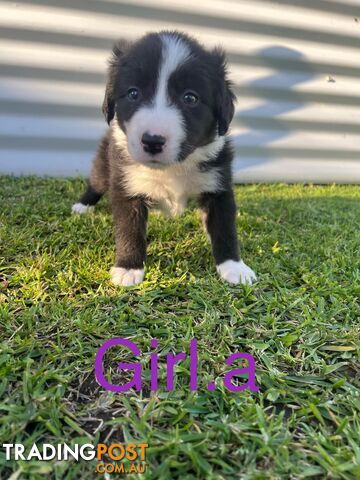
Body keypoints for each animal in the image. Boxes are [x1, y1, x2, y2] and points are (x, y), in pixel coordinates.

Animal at [72, 31, 256, 286]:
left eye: (190, 98)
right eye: (133, 93)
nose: (152, 141)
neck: (172, 168)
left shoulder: (217, 185)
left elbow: (225, 228)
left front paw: (233, 267)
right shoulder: (126, 186)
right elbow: (129, 230)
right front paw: (128, 267)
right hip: (104, 166)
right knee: (96, 182)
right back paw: (83, 205)